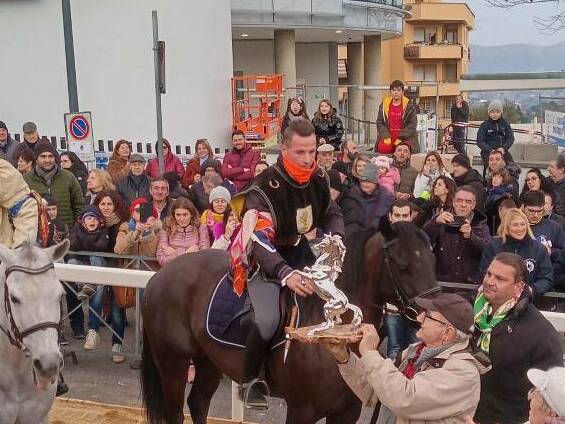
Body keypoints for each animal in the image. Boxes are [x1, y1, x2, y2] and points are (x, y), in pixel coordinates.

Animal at [140, 224, 436, 422]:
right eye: (402, 265)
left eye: (431, 257)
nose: (430, 310)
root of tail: (159, 276)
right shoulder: (302, 410)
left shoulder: (347, 411)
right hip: (173, 363)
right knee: (176, 412)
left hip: (209, 361)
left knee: (198, 402)